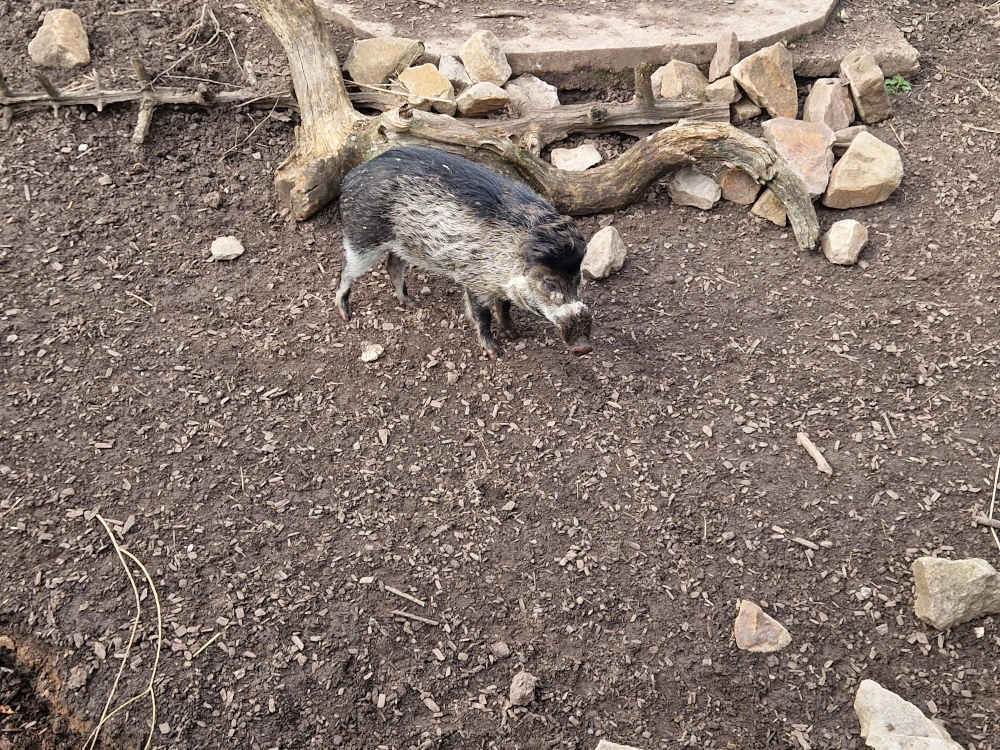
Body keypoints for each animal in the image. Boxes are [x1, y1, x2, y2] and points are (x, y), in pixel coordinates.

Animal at [335, 146, 593, 358]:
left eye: (578, 278)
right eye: (550, 283)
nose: (584, 347)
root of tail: (350, 177)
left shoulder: (498, 283)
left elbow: (504, 307)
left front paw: (515, 334)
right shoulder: (475, 281)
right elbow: (483, 316)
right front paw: (495, 352)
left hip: (400, 244)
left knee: (392, 264)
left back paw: (414, 304)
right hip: (363, 238)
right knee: (346, 270)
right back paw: (345, 315)